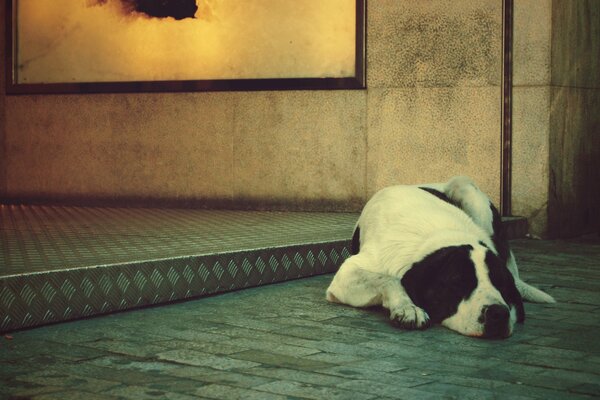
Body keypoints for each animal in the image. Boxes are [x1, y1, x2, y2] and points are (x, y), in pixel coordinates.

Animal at [326, 176, 556, 338]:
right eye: (458, 282)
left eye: (501, 283)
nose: (498, 314)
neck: (441, 233)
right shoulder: (348, 273)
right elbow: (389, 279)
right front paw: (408, 308)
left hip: (467, 189)